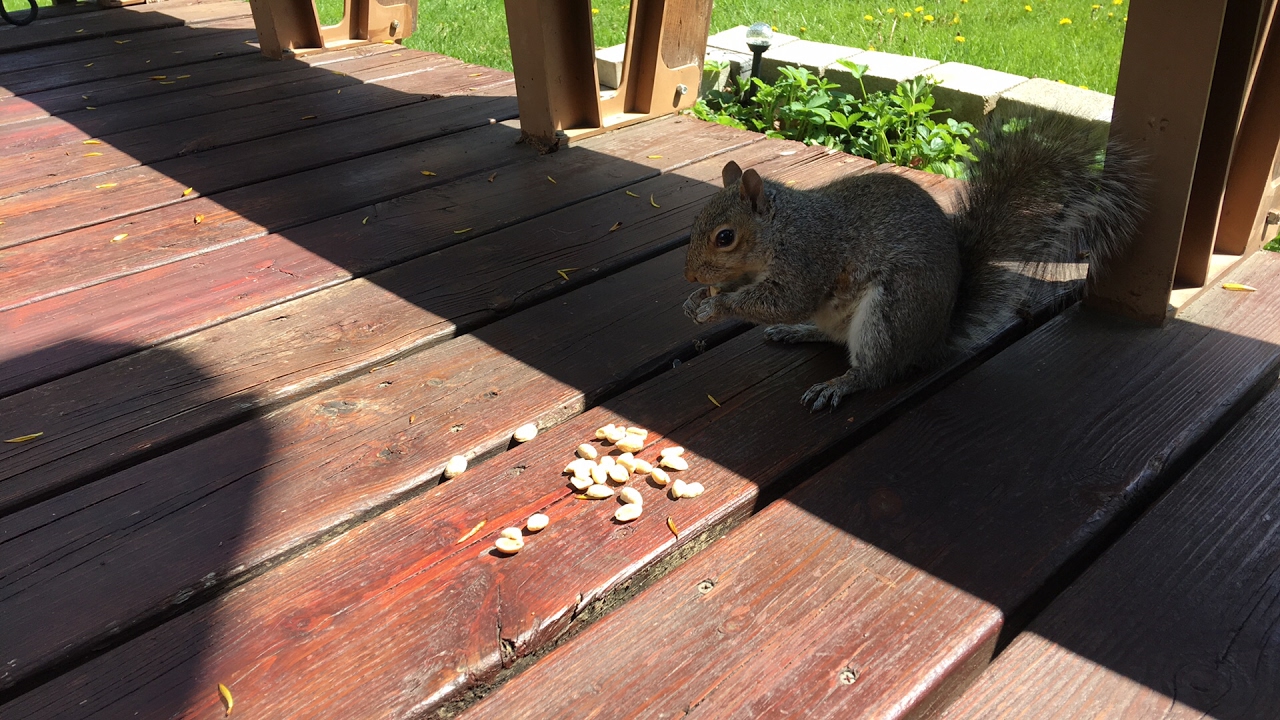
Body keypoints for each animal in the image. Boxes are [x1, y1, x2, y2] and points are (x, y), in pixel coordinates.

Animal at [682, 113, 1146, 411]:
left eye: (725, 237)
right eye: (697, 218)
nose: (688, 273)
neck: (780, 231)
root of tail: (934, 339)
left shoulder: (808, 257)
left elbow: (785, 300)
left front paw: (717, 305)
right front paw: (696, 300)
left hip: (890, 314)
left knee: (876, 371)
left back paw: (839, 385)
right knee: (832, 338)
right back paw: (797, 332)